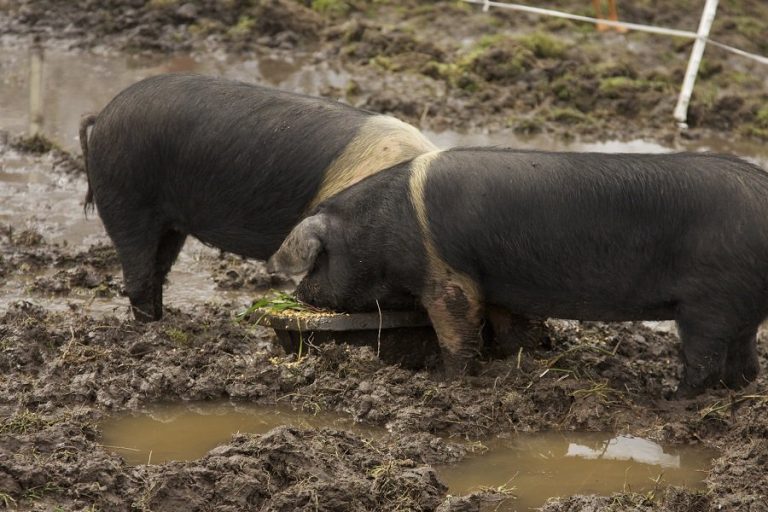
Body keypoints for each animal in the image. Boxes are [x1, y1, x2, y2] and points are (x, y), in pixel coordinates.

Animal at [79, 73, 436, 321]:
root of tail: (103, 114)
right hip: (125, 200)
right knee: (137, 276)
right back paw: (151, 330)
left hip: (168, 223)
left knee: (157, 271)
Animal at [268, 147, 768, 396]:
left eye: (319, 257)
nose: (301, 294)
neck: (383, 225)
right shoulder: (499, 286)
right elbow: (510, 328)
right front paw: (519, 362)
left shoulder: (449, 277)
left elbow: (456, 330)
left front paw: (447, 382)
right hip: (738, 307)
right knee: (745, 359)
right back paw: (738, 394)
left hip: (709, 304)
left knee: (704, 360)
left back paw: (671, 401)